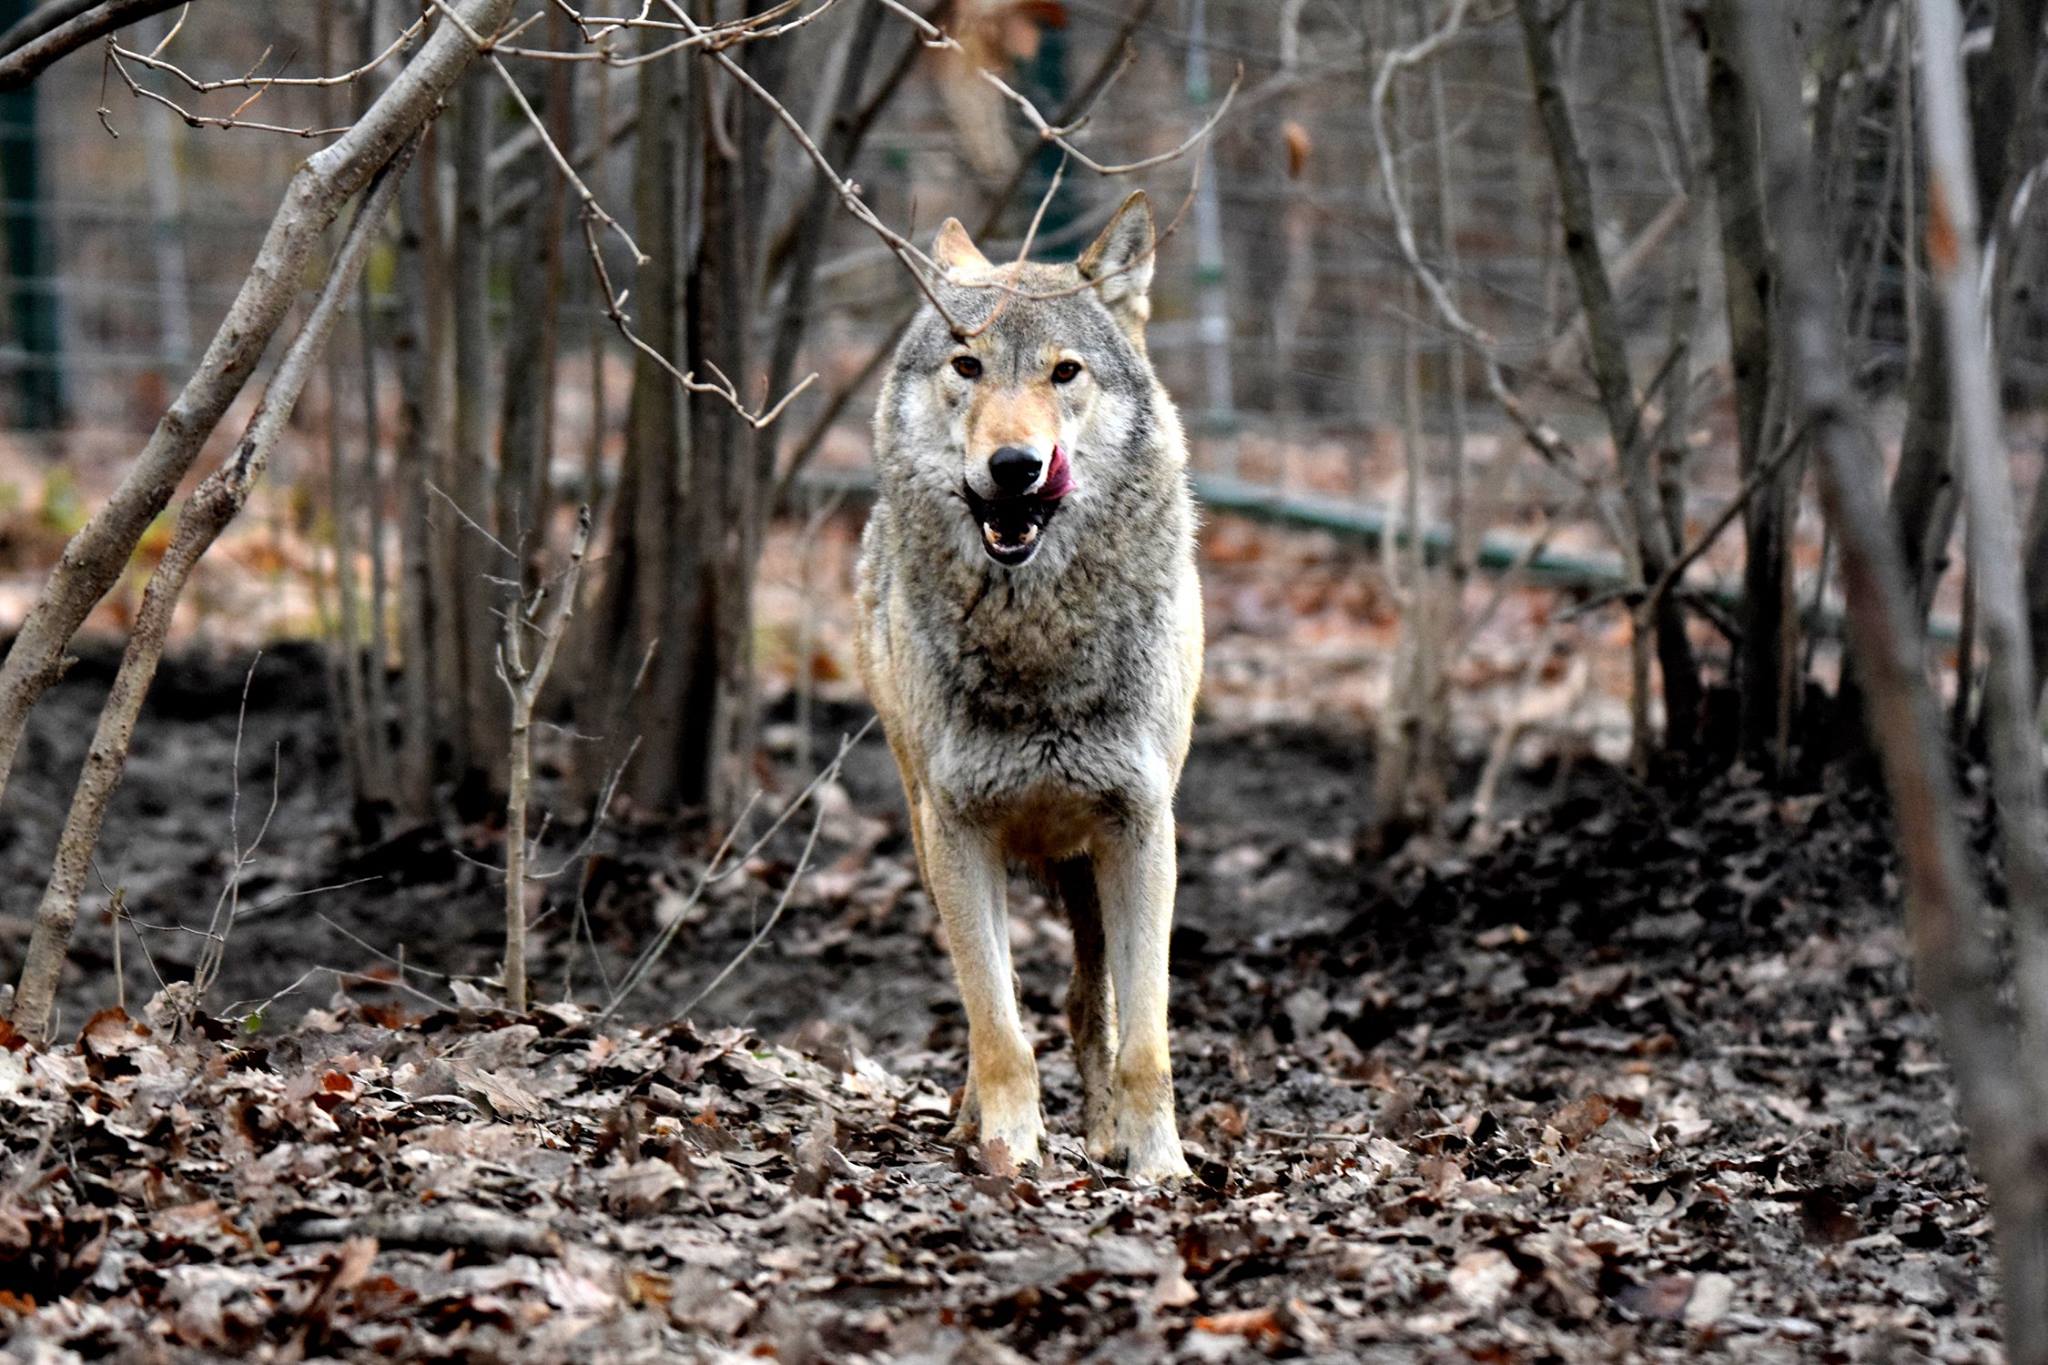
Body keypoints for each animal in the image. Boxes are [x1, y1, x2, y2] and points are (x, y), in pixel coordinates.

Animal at [851, 192, 1196, 1186]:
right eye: (967, 365)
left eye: (1064, 372)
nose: (1014, 466)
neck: (1038, 637)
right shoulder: (958, 831)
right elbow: (998, 1028)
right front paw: (1009, 1151)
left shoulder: (1143, 828)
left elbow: (1147, 1040)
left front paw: (1162, 1169)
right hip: (931, 833)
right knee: (992, 1007)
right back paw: (978, 1125)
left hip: (1088, 865)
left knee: (1089, 1003)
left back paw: (1106, 1133)